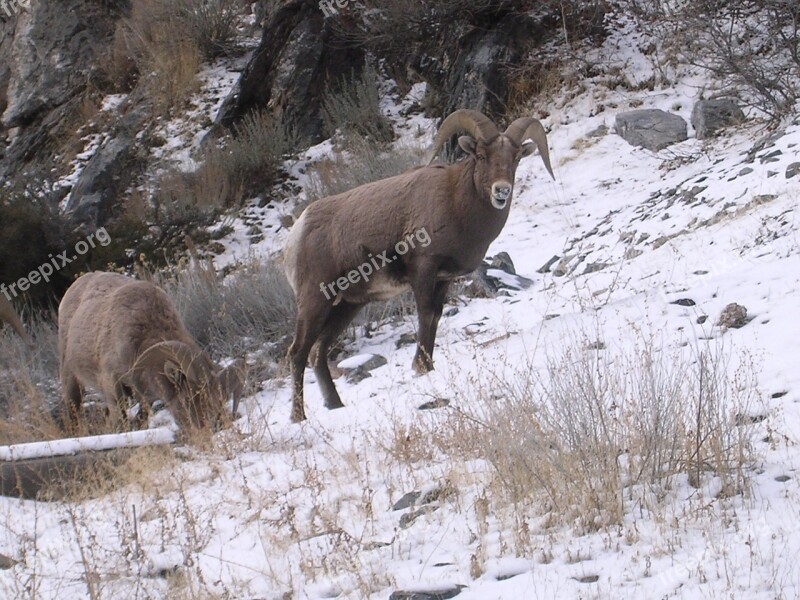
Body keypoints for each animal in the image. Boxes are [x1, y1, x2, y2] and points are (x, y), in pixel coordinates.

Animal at [57, 272, 244, 432]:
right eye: (188, 399)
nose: (210, 427)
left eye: (219, 398)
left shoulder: (144, 396)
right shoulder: (112, 383)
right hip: (71, 379)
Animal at [284, 108, 552, 422]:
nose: (501, 191)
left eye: (516, 158)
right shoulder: (423, 271)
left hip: (346, 307)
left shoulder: (444, 279)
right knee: (298, 353)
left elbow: (436, 316)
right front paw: (421, 368)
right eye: (482, 156)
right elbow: (426, 315)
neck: (456, 204)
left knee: (318, 352)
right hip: (315, 302)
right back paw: (298, 417)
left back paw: (335, 405)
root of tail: (297, 233)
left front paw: (427, 365)